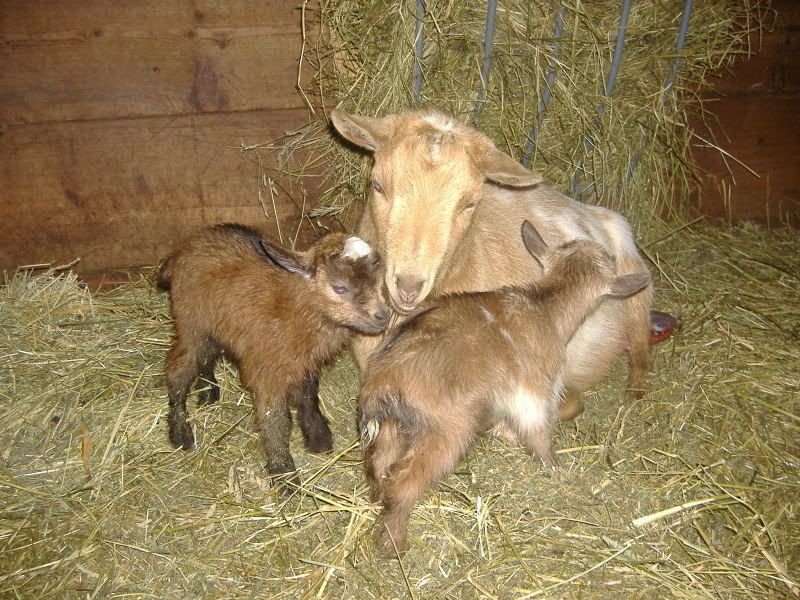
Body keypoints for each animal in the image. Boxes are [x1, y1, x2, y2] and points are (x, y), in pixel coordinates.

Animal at [158, 224, 389, 484]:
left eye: (378, 281)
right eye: (340, 287)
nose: (383, 317)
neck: (298, 310)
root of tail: (180, 252)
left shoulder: (305, 362)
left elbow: (308, 394)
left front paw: (318, 437)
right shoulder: (267, 370)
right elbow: (275, 418)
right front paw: (284, 474)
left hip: (212, 325)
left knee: (206, 355)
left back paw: (208, 392)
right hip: (191, 321)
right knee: (179, 369)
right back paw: (180, 433)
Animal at [358, 220, 651, 555]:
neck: (545, 308)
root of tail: (383, 380)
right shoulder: (534, 388)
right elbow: (538, 431)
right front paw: (554, 468)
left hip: (391, 427)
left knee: (379, 466)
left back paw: (377, 505)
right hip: (447, 430)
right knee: (403, 482)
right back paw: (393, 543)